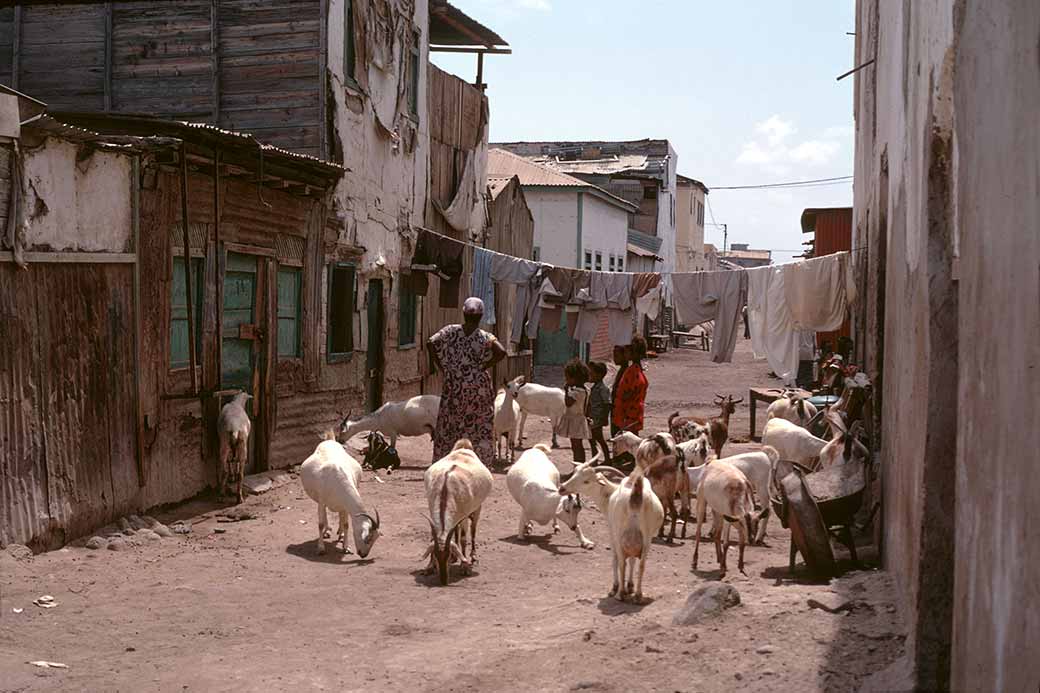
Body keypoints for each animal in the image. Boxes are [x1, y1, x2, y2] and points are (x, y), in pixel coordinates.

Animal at [420, 437, 492, 582]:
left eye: (447, 555)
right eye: (436, 555)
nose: (443, 580)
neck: (445, 487)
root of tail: (464, 447)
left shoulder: (464, 515)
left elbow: (464, 538)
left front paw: (464, 566)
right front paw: (429, 567)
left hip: (477, 508)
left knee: (473, 529)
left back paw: (473, 557)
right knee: (456, 530)